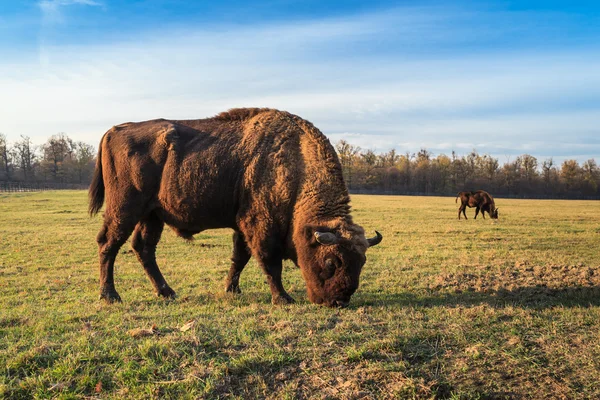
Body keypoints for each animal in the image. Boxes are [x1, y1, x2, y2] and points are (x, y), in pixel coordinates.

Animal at [88, 108, 384, 310]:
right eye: (332, 261)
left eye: (362, 262)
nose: (338, 301)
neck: (295, 166)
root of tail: (114, 130)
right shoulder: (260, 227)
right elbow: (269, 262)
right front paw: (283, 298)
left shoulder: (242, 227)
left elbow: (239, 258)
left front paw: (232, 290)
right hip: (125, 208)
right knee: (108, 243)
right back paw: (110, 296)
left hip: (152, 215)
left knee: (143, 248)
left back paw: (166, 292)